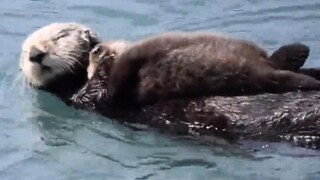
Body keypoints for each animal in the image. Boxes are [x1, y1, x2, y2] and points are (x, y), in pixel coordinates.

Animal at [19, 22, 320, 149]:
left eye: (60, 36)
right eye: (23, 52)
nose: (35, 54)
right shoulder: (92, 99)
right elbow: (106, 88)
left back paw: (300, 56)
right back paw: (301, 63)